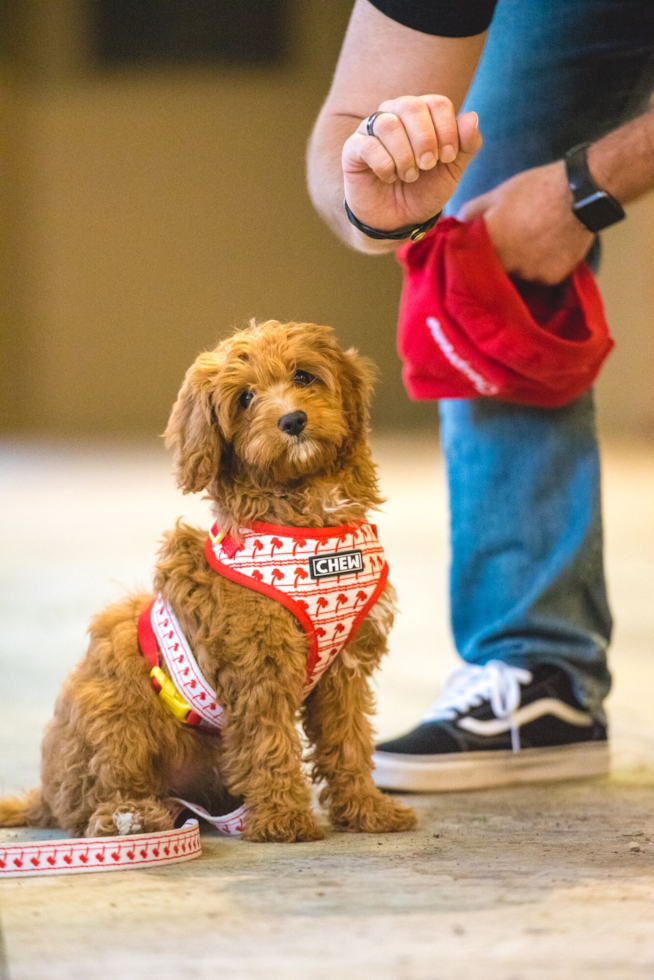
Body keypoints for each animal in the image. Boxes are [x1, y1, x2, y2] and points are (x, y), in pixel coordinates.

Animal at [0, 322, 418, 844]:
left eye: (304, 376)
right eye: (245, 398)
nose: (293, 420)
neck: (305, 516)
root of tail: (45, 794)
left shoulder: (344, 668)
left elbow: (349, 743)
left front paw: (366, 810)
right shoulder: (260, 668)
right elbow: (269, 743)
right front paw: (283, 819)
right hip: (111, 709)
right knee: (96, 797)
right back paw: (129, 816)